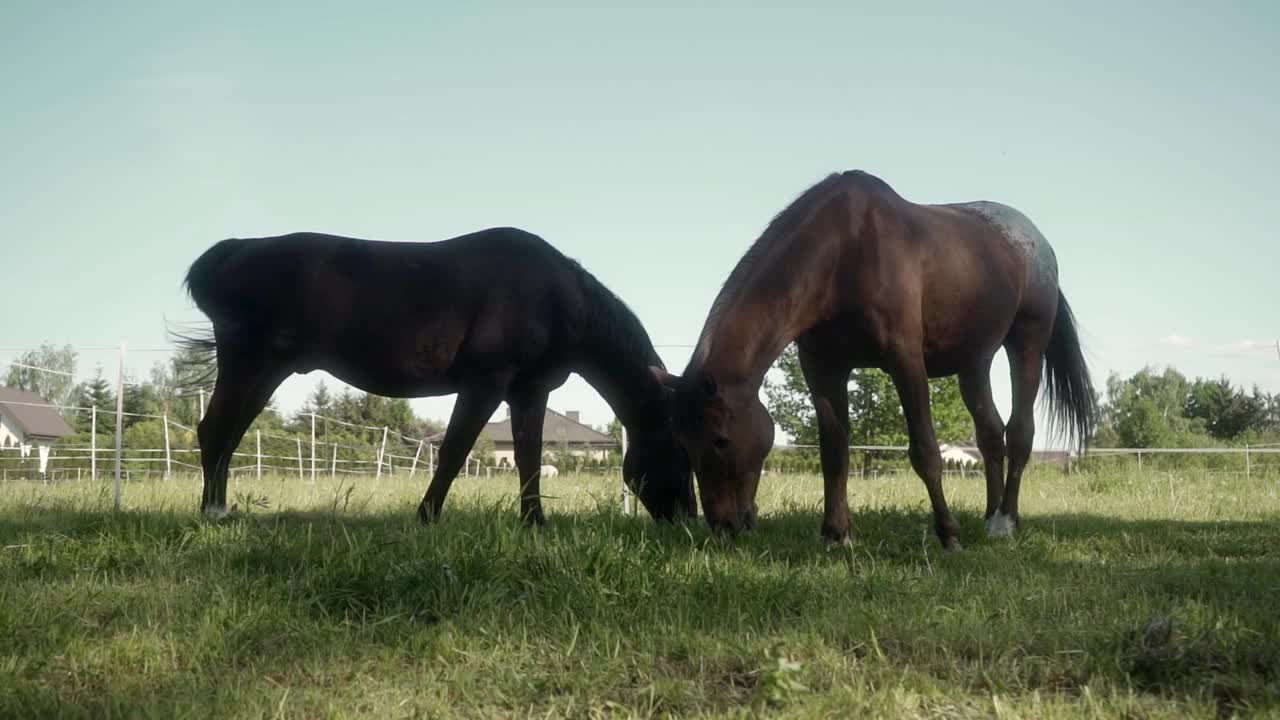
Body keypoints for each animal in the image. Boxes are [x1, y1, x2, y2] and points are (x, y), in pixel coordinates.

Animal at [175, 226, 696, 525]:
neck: (554, 297)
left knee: (227, 434)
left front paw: (534, 522)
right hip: (249, 362)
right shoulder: (485, 383)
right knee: (215, 430)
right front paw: (427, 516)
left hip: (265, 370)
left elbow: (528, 458)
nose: (688, 519)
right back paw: (213, 512)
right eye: (679, 451)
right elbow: (454, 451)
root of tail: (228, 253)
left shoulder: (528, 393)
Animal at [655, 169, 1095, 548]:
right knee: (990, 436)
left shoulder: (905, 361)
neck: (844, 254)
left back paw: (1005, 522)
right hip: (975, 362)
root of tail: (1036, 241)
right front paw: (837, 535)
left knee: (1019, 433)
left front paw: (948, 535)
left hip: (1026, 343)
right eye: (682, 441)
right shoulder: (823, 369)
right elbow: (834, 452)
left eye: (720, 440)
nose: (723, 526)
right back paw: (989, 518)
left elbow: (925, 452)